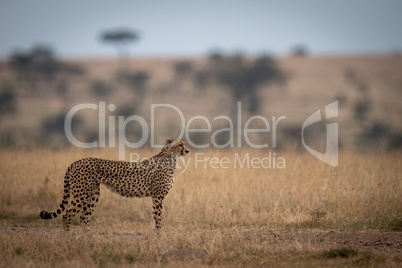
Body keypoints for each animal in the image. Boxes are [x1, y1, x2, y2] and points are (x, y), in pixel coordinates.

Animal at [40, 138, 189, 230]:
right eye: (180, 145)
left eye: (185, 144)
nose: (187, 151)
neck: (170, 157)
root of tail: (77, 161)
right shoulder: (157, 196)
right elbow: (158, 217)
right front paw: (159, 235)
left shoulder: (156, 197)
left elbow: (155, 217)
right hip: (81, 195)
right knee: (66, 216)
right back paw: (70, 239)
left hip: (93, 194)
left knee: (83, 218)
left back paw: (91, 240)